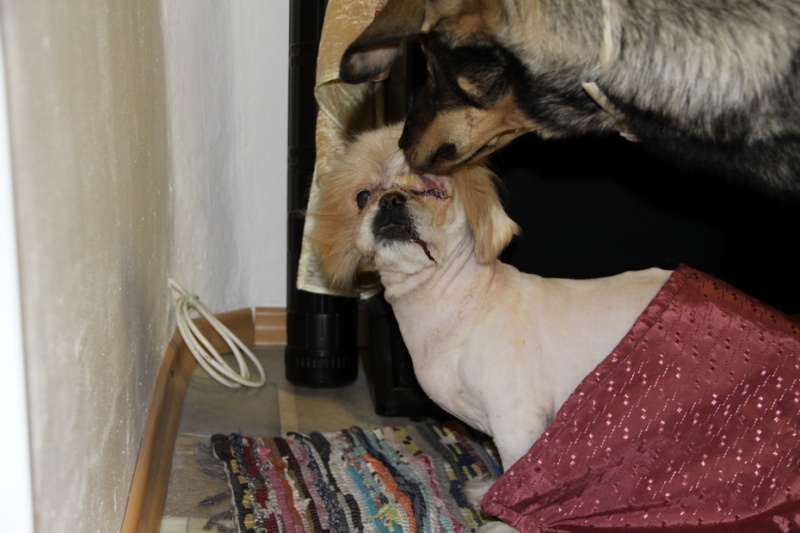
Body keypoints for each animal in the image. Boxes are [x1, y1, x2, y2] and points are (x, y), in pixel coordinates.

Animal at [310, 124, 673, 530]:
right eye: (362, 196)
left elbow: (516, 473)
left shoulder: (518, 422)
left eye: (433, 189)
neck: (458, 306)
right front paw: (488, 492)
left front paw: (504, 519)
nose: (390, 200)